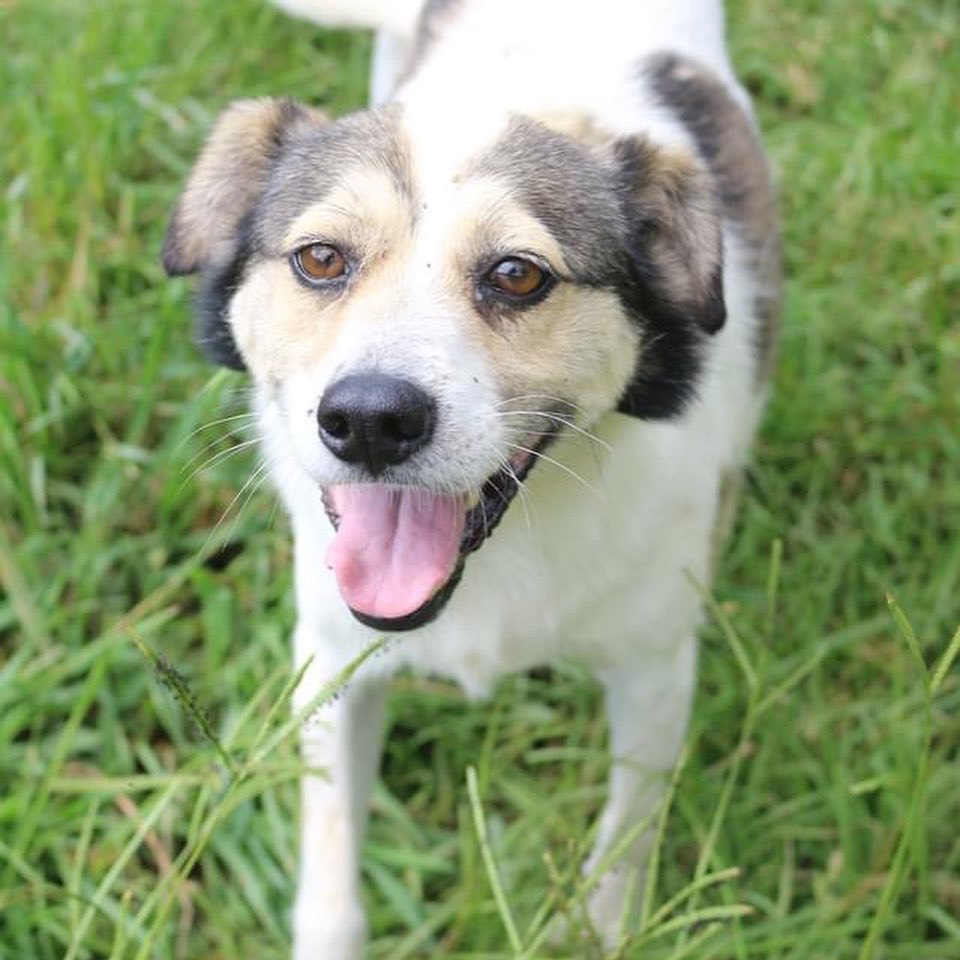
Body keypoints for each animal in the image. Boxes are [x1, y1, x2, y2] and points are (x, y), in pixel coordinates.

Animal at [163, 3, 780, 956]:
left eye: (517, 274)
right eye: (320, 259)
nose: (371, 420)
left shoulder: (655, 669)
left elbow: (626, 838)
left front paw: (601, 927)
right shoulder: (331, 660)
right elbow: (331, 863)